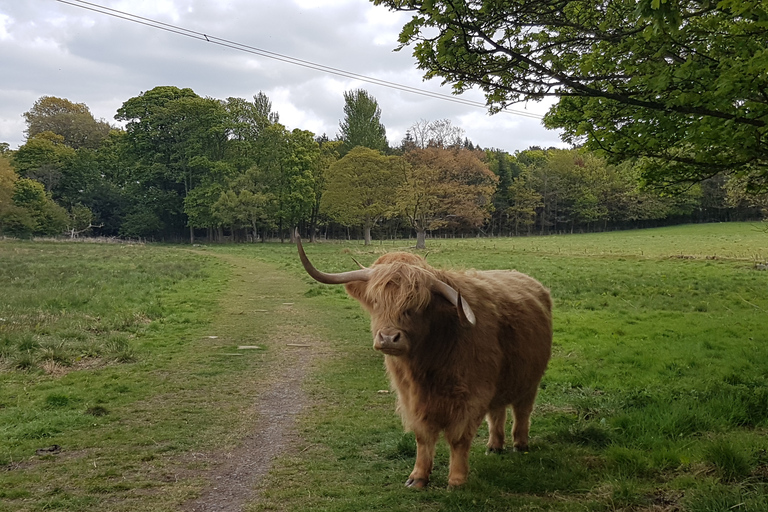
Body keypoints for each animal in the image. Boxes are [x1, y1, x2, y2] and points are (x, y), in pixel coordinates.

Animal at [296, 236, 552, 488]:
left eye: (416, 306)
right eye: (376, 301)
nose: (388, 338)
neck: (428, 364)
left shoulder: (472, 395)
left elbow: (458, 438)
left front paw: (457, 480)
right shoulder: (411, 398)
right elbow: (423, 437)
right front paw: (418, 477)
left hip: (530, 381)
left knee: (522, 411)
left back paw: (520, 446)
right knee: (497, 412)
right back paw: (494, 446)